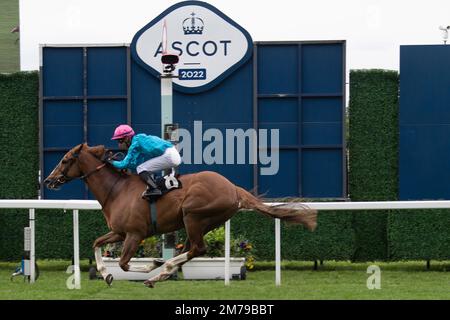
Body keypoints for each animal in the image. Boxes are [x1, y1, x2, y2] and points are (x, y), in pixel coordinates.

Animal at [42, 143, 316, 288]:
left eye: (65, 160)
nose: (48, 180)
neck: (116, 190)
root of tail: (233, 188)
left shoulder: (134, 233)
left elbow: (123, 262)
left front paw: (151, 264)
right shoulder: (119, 231)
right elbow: (97, 243)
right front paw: (106, 274)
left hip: (193, 215)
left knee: (197, 248)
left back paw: (162, 270)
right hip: (207, 221)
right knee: (195, 249)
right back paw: (163, 271)